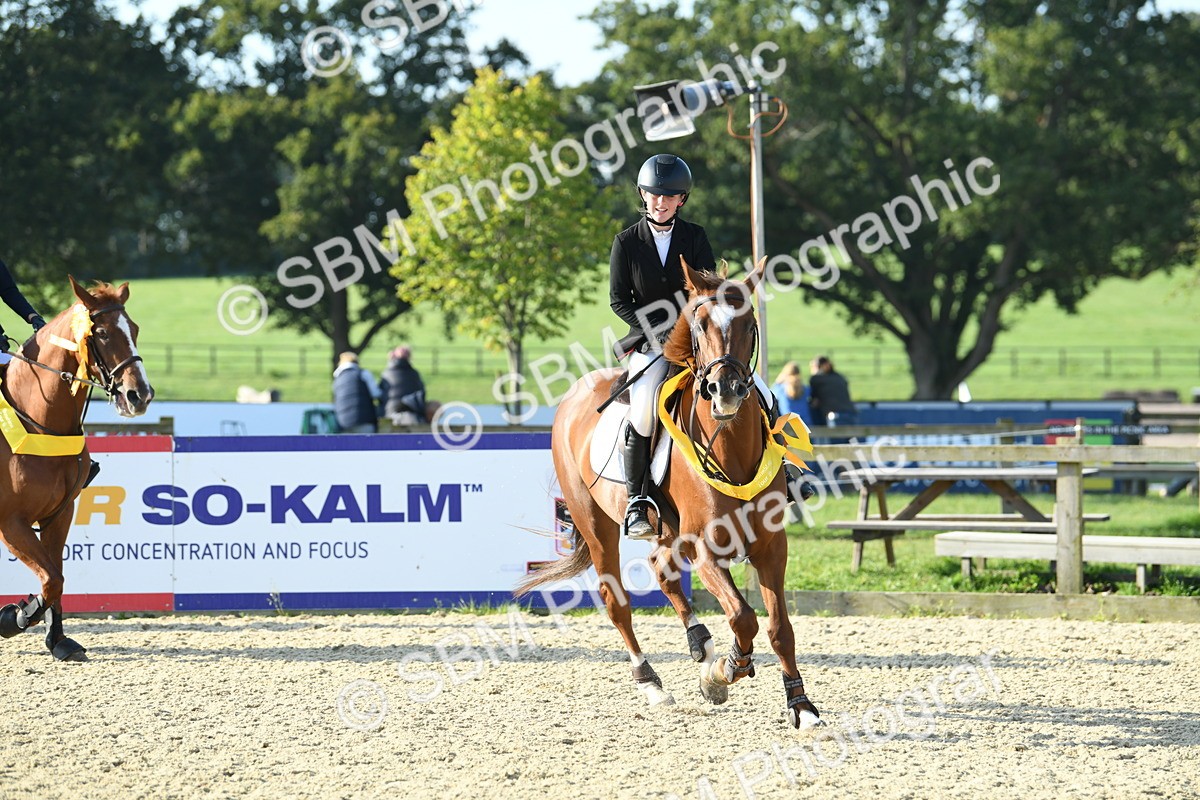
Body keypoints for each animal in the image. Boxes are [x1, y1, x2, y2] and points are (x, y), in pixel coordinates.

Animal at [0, 277, 153, 661]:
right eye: (101, 333)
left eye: (134, 329)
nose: (139, 395)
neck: (40, 423)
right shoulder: (10, 523)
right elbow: (51, 579)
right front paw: (12, 618)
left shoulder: (59, 514)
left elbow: (55, 578)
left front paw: (57, 640)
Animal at [518, 258, 822, 729]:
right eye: (699, 324)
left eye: (750, 322)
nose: (726, 392)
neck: (730, 448)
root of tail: (574, 393)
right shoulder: (706, 549)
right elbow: (743, 618)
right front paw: (725, 671)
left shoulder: (771, 545)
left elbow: (778, 629)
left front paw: (801, 706)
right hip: (596, 523)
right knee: (616, 601)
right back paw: (652, 683)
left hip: (666, 530)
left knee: (662, 570)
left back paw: (700, 643)